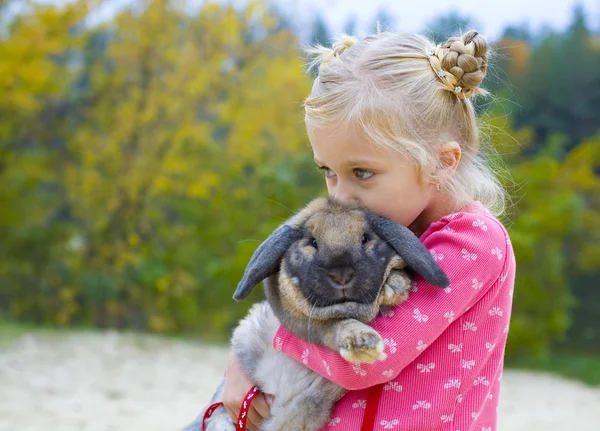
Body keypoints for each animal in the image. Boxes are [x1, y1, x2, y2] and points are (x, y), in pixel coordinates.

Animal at [189, 197, 450, 431]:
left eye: (365, 237)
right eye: (312, 241)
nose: (341, 274)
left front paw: (394, 287)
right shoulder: (308, 325)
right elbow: (335, 326)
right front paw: (363, 343)